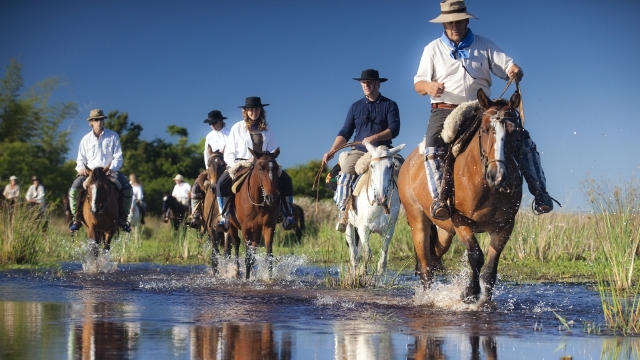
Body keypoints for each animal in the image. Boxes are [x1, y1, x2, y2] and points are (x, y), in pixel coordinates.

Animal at [228, 148, 282, 280]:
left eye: (276, 168)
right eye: (260, 168)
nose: (271, 198)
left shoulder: (268, 227)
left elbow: (268, 256)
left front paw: (269, 279)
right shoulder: (245, 228)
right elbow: (247, 257)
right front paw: (247, 279)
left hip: (256, 231)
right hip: (232, 226)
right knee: (236, 243)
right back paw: (237, 272)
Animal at [344, 141, 404, 276]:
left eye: (391, 166)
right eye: (372, 166)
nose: (380, 198)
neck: (378, 207)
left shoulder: (388, 230)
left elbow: (383, 257)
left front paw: (377, 273)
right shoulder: (363, 228)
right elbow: (367, 254)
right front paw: (361, 273)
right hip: (349, 227)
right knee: (354, 255)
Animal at [400, 88, 524, 302]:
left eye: (514, 131)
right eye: (484, 130)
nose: (497, 176)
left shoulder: (504, 226)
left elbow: (490, 271)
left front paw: (485, 302)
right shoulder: (460, 221)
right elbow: (476, 255)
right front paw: (469, 293)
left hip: (444, 231)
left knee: (434, 255)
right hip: (418, 222)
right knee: (425, 267)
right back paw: (427, 298)